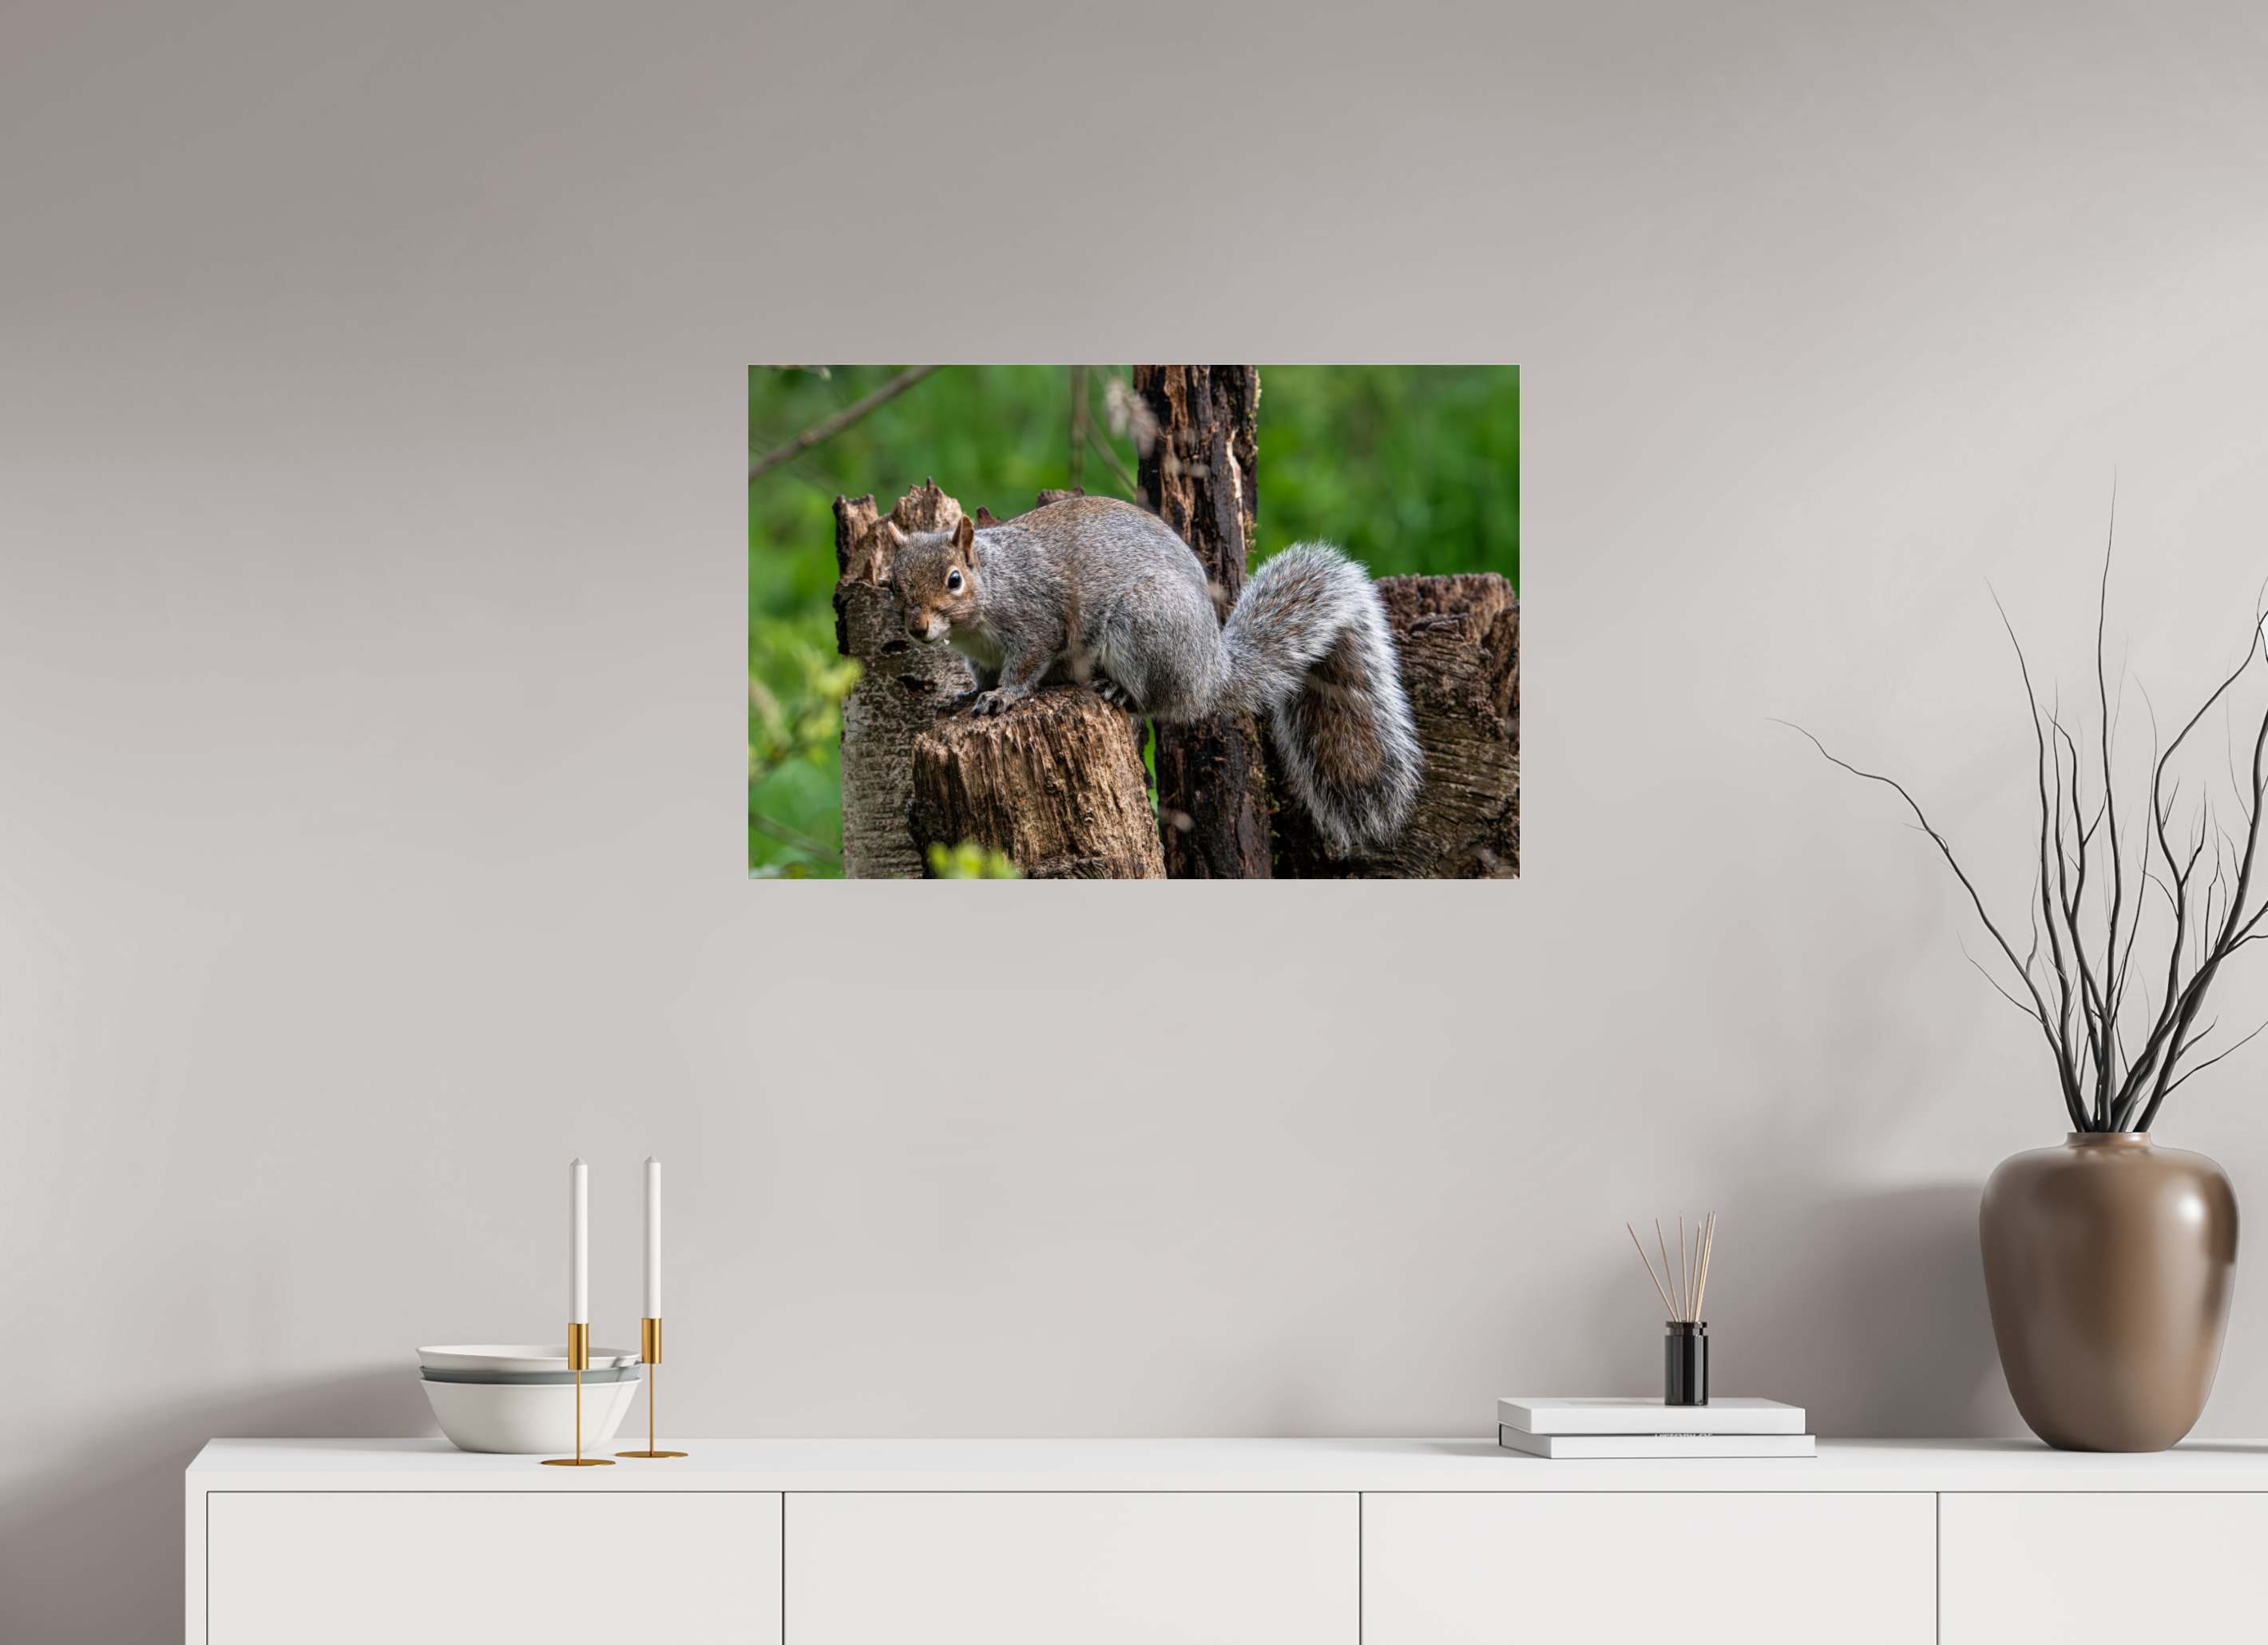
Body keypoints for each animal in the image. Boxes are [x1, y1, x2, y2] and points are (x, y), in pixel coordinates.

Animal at [883, 495, 1421, 855]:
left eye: (954, 580)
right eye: (891, 585)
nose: (917, 628)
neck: (991, 588)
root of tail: (1211, 672)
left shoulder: (1035, 623)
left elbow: (1027, 667)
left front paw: (1004, 698)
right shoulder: (980, 656)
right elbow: (980, 677)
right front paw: (965, 697)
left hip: (1145, 626)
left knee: (1156, 700)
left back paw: (1118, 691)